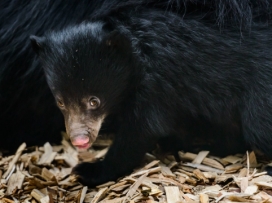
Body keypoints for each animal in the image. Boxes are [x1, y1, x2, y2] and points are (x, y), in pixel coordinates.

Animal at [29, 0, 272, 187]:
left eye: (94, 101)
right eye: (61, 102)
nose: (80, 141)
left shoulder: (156, 83)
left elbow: (142, 130)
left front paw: (89, 171)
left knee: (259, 127)